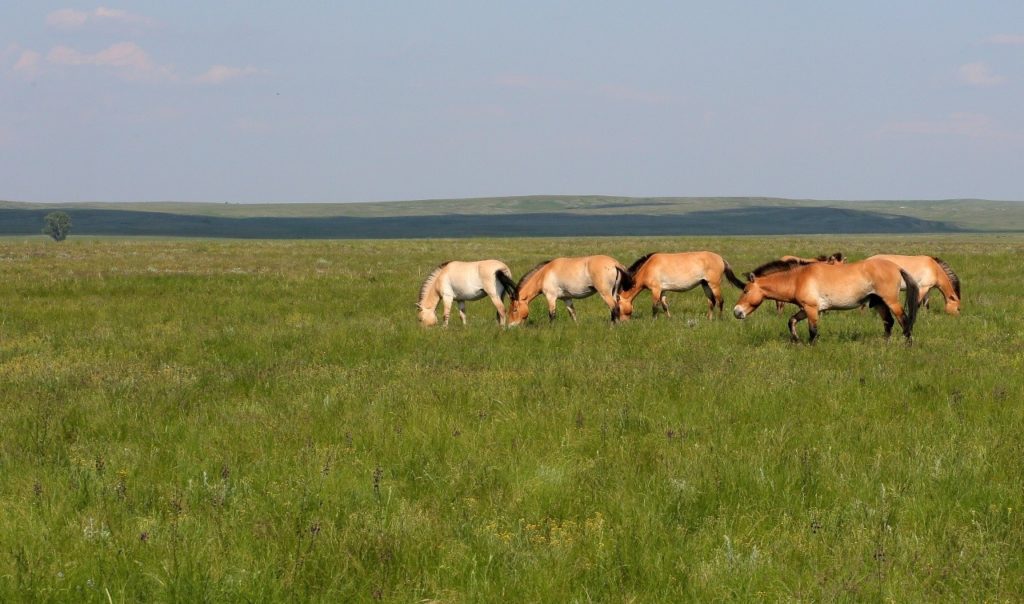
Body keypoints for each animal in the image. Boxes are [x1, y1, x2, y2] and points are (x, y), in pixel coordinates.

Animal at [617, 251, 746, 320]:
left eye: (618, 308)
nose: (622, 323)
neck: (648, 267)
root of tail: (720, 258)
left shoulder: (656, 290)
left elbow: (655, 307)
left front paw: (654, 320)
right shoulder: (663, 290)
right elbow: (665, 306)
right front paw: (669, 319)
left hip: (714, 285)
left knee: (720, 301)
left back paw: (719, 319)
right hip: (705, 284)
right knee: (711, 301)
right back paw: (709, 319)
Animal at [732, 257, 920, 343]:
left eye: (745, 290)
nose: (736, 311)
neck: (797, 279)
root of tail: (896, 267)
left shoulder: (811, 309)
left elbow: (813, 331)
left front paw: (810, 346)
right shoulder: (808, 309)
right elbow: (791, 321)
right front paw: (797, 340)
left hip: (890, 301)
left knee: (904, 321)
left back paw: (907, 344)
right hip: (879, 302)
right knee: (888, 322)